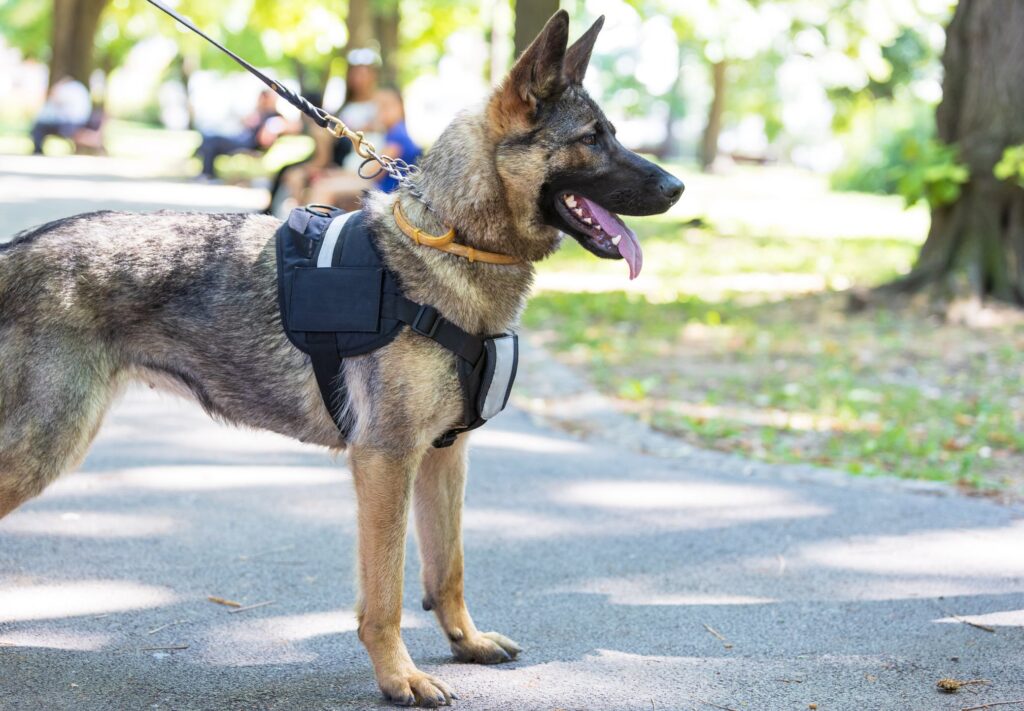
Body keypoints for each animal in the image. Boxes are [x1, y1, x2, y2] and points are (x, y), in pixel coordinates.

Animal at [4, 11, 684, 708]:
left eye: (613, 134)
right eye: (591, 139)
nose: (679, 187)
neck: (453, 241)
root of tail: (16, 247)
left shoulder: (445, 458)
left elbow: (448, 569)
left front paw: (465, 643)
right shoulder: (385, 460)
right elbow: (385, 594)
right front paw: (398, 676)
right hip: (44, 446)